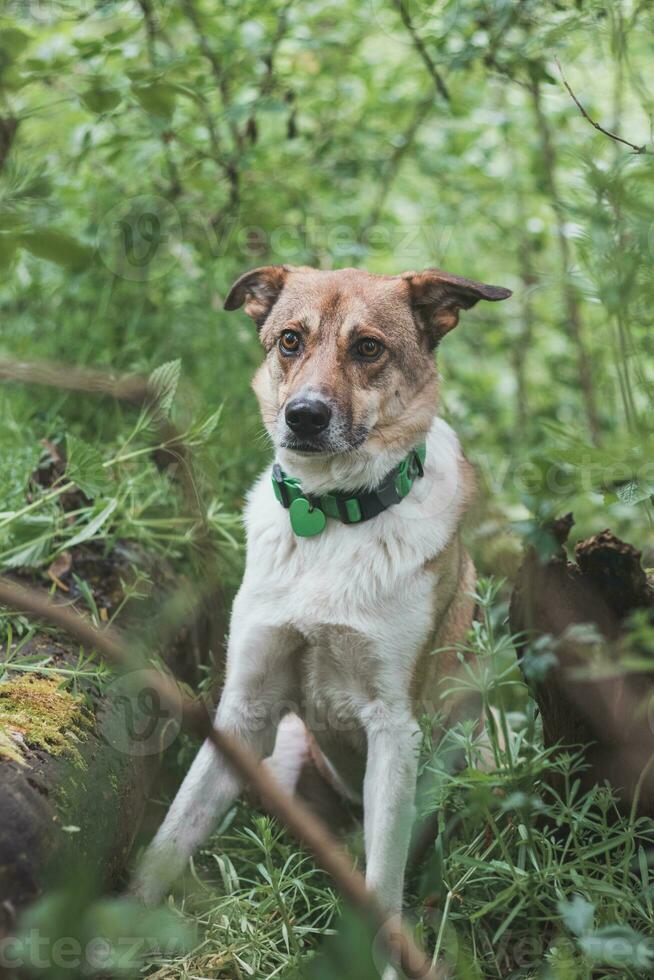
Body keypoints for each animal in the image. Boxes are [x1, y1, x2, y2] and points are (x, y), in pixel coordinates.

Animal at [132, 262, 512, 920]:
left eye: (369, 348)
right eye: (290, 340)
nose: (304, 415)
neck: (331, 513)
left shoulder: (394, 727)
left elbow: (382, 885)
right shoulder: (246, 708)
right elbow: (171, 835)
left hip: (481, 753)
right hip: (284, 752)